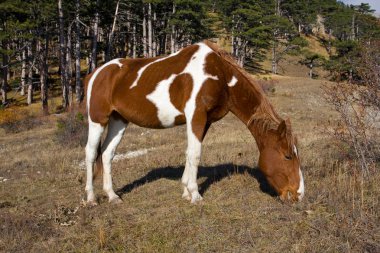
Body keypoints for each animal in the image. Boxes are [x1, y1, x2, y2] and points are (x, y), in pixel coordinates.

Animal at [84, 40, 304, 206]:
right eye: (287, 156)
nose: (299, 194)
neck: (220, 75)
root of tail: (96, 73)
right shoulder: (196, 116)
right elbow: (196, 154)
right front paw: (195, 195)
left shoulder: (205, 121)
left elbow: (190, 153)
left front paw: (185, 192)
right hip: (97, 120)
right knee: (91, 153)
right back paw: (91, 198)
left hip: (119, 120)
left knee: (107, 154)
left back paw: (112, 196)